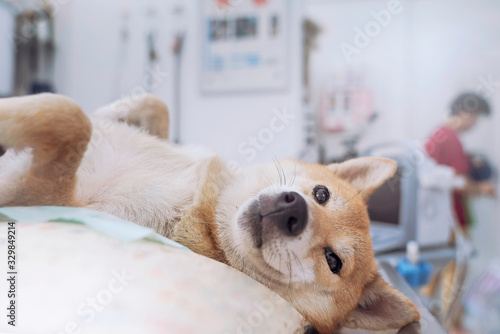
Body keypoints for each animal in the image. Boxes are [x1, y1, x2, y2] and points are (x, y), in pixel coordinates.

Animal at [0, 94, 422, 334]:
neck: (201, 201)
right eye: (321, 194)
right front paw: (119, 111)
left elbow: (69, 118)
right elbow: (150, 106)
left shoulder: (48, 194)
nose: (295, 209)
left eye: (333, 261)